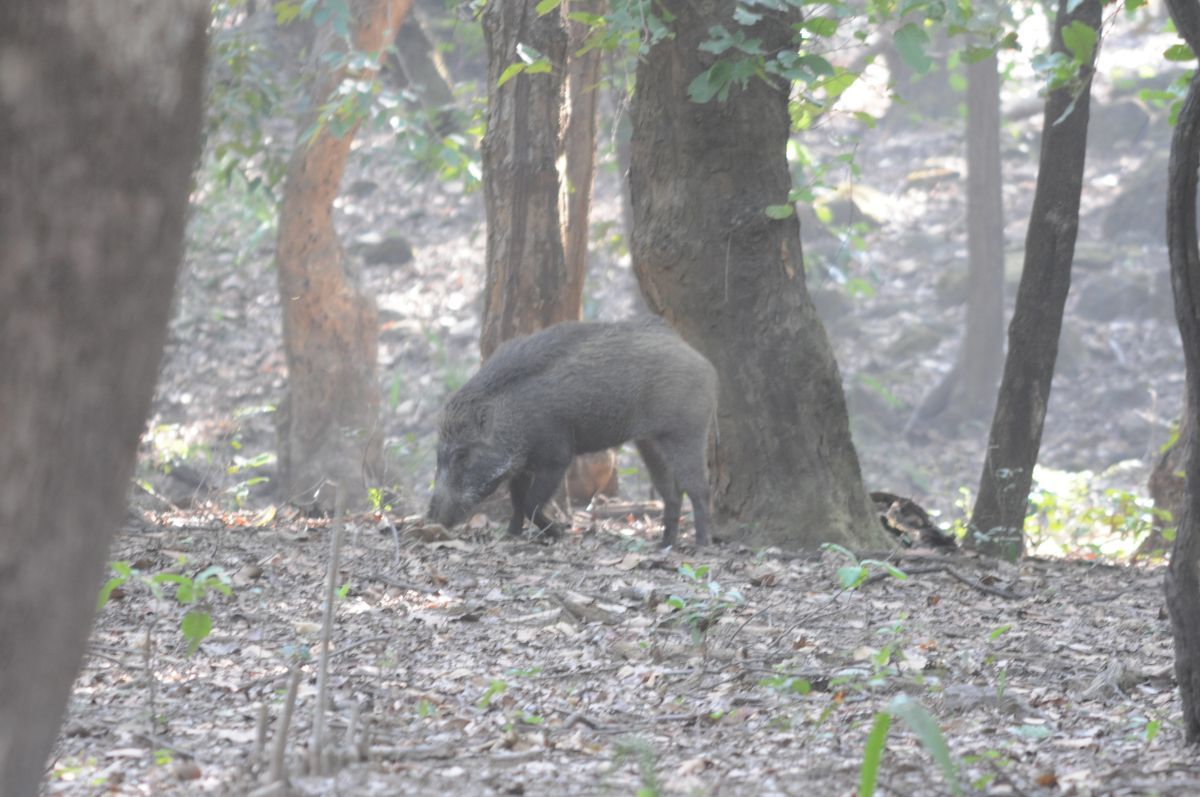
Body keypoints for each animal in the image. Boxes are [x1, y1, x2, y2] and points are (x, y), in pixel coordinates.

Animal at [427, 319, 718, 546]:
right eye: (438, 454)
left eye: (462, 455)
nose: (432, 519)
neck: (510, 419)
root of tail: (706, 365)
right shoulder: (521, 466)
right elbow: (518, 501)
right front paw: (511, 535)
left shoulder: (556, 457)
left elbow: (531, 502)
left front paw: (557, 533)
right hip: (650, 443)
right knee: (671, 493)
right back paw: (665, 544)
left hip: (686, 432)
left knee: (699, 489)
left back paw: (701, 544)